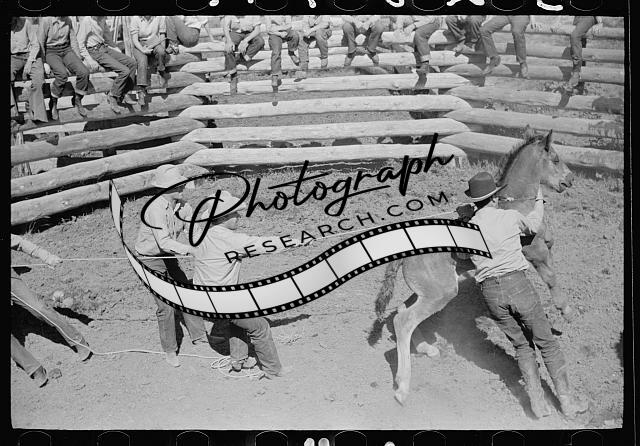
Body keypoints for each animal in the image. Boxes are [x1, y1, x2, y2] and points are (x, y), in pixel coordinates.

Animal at [373, 127, 575, 405]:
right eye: (555, 158)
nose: (570, 180)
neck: (515, 204)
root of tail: (407, 251)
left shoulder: (546, 248)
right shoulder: (537, 253)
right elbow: (552, 279)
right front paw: (566, 311)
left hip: (430, 291)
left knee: (402, 312)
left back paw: (426, 348)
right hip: (441, 293)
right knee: (404, 320)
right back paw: (402, 387)